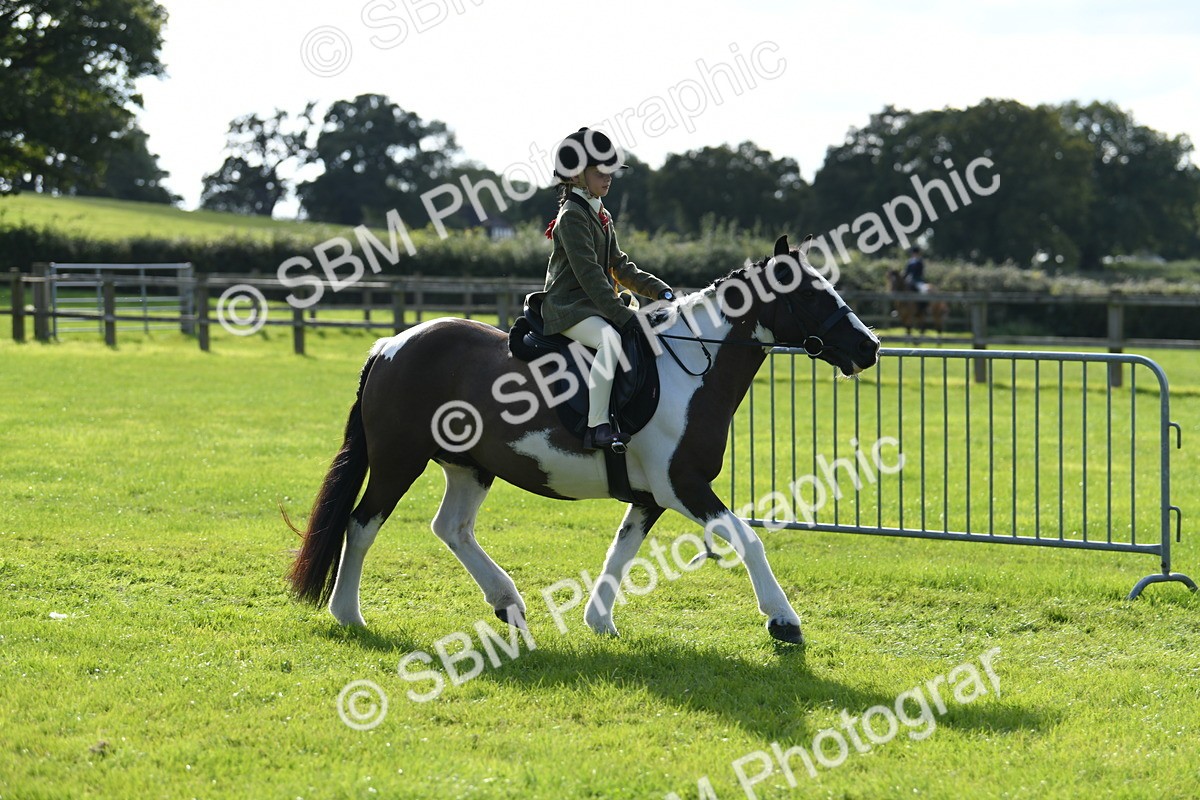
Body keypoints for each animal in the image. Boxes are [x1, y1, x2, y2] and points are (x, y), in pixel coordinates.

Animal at [287, 235, 880, 644]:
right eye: (809, 293)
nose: (869, 347)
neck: (692, 365)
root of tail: (392, 344)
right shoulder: (683, 486)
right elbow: (748, 538)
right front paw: (784, 622)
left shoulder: (651, 496)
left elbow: (622, 551)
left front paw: (600, 622)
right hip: (398, 460)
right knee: (362, 524)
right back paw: (349, 615)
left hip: (470, 466)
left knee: (451, 528)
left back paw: (508, 603)